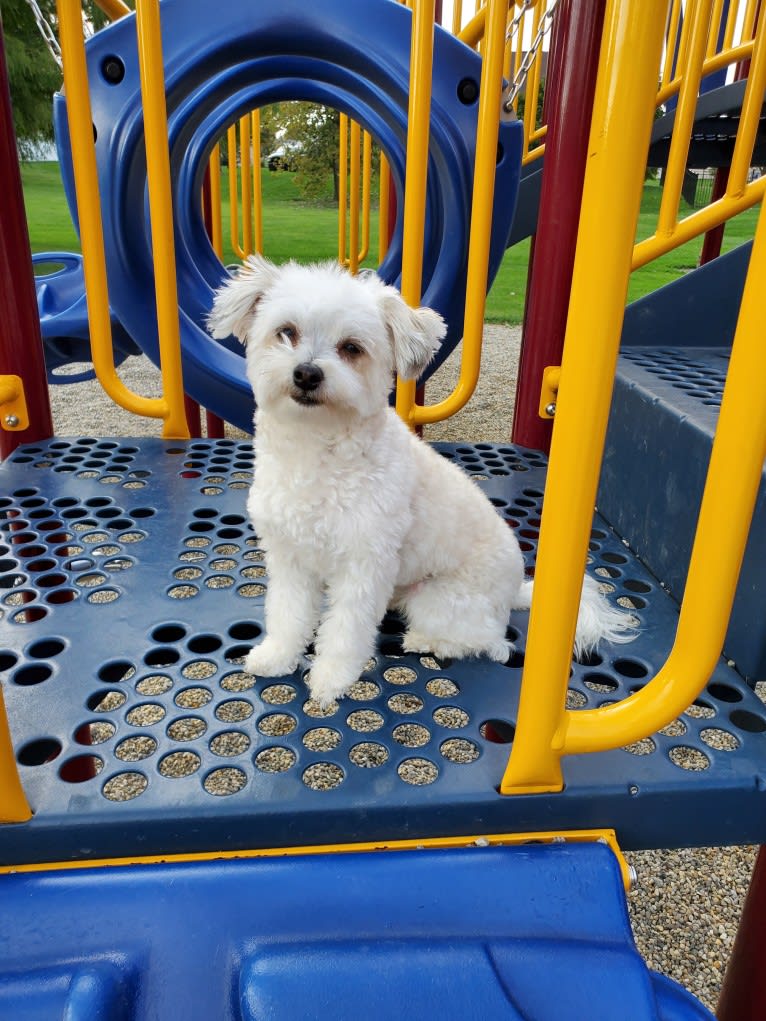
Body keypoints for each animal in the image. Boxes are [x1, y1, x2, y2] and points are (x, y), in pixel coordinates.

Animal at [210, 255, 637, 706]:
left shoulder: (365, 565)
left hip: (441, 601)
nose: (307, 373)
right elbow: (287, 613)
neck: (317, 449)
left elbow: (347, 630)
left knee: (489, 641)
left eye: (351, 348)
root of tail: (515, 591)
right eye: (286, 332)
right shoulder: (290, 557)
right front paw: (277, 656)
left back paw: (424, 640)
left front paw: (332, 678)